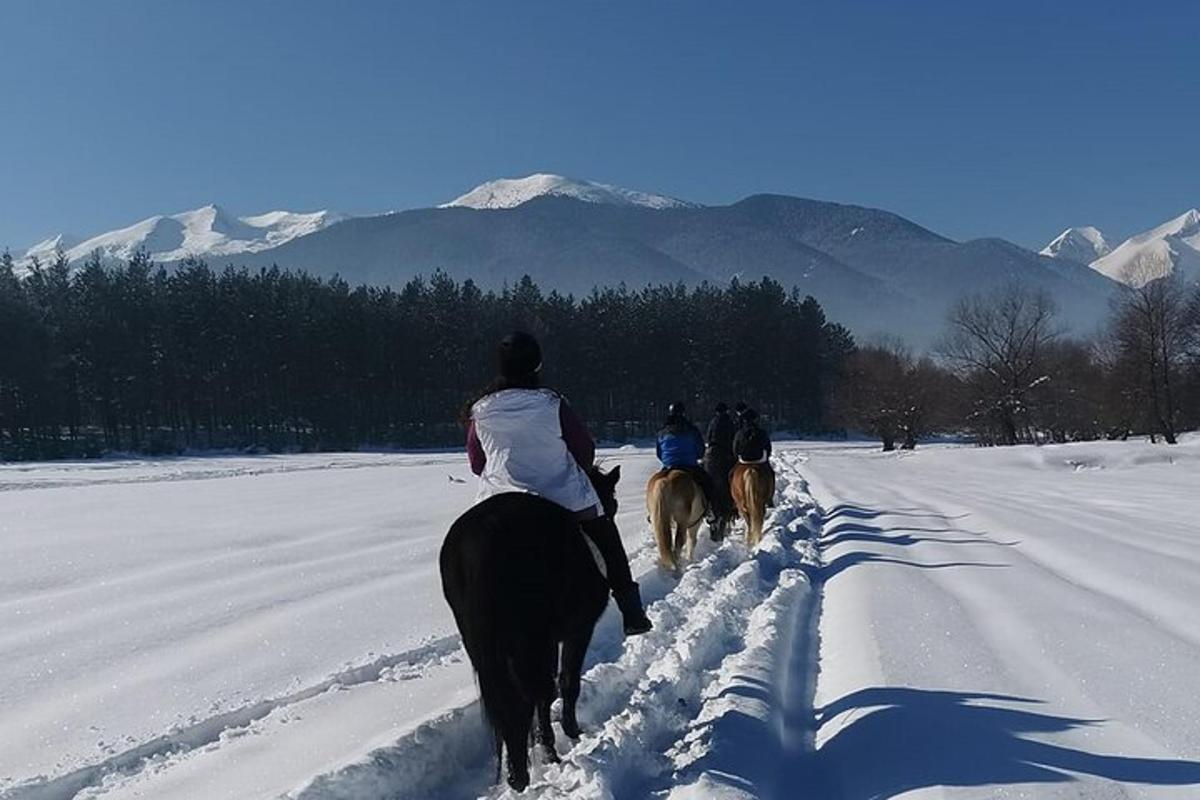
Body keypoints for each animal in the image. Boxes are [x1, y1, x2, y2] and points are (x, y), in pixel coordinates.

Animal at [439, 465, 619, 791]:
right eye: (611, 504)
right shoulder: (578, 630)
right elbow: (567, 681)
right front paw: (570, 732)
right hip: (530, 640)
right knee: (532, 694)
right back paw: (533, 764)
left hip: (486, 645)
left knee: (513, 701)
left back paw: (517, 771)